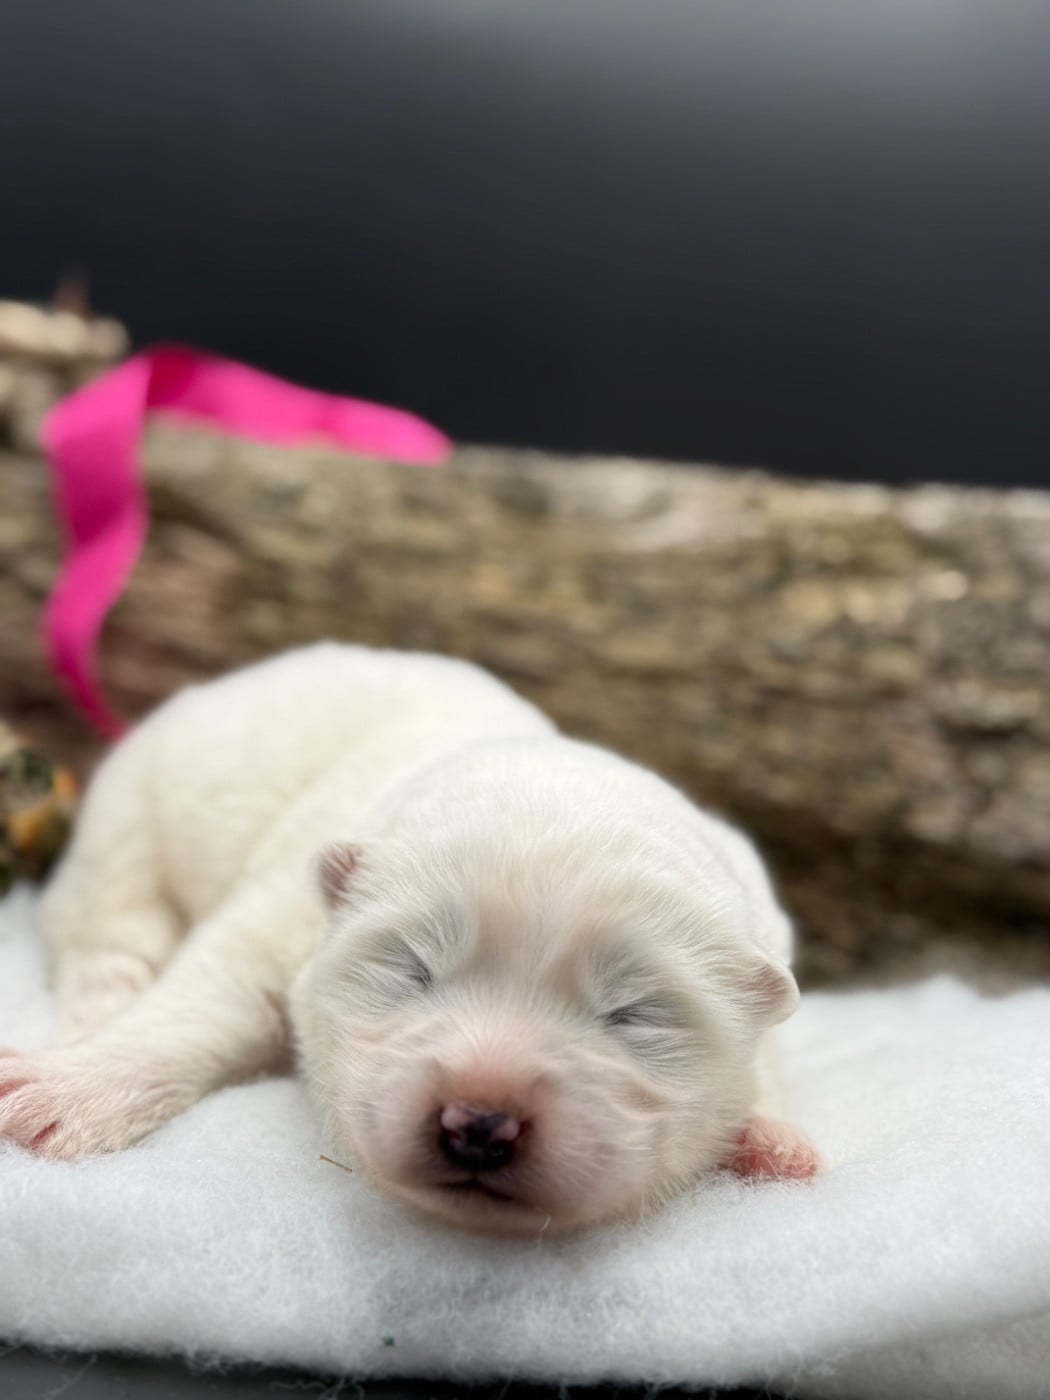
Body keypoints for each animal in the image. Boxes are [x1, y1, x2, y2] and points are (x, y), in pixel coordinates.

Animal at [0, 644, 818, 1232]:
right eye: (413, 968)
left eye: (632, 1013)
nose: (479, 1124)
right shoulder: (283, 910)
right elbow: (205, 1000)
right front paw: (65, 1093)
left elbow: (770, 1051)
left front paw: (772, 1138)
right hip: (129, 819)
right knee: (110, 929)